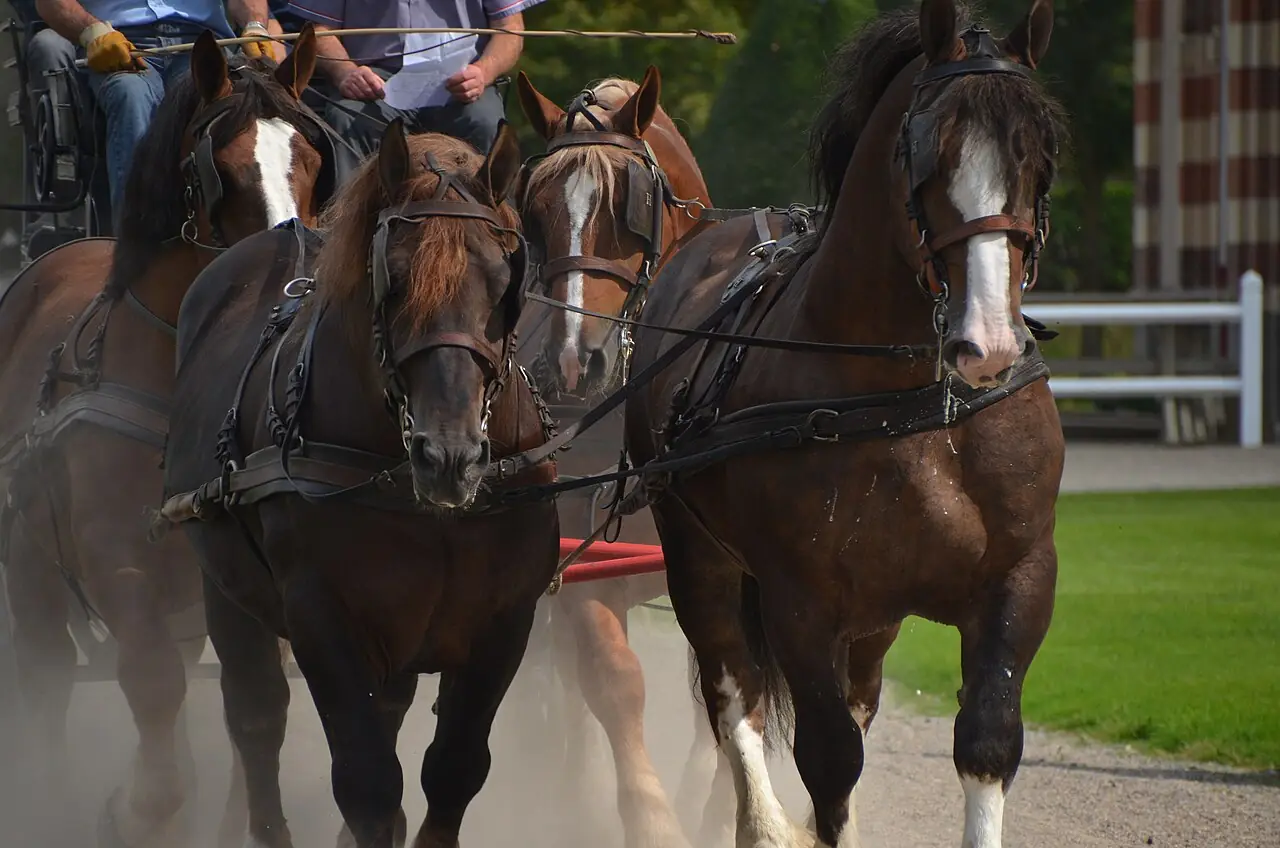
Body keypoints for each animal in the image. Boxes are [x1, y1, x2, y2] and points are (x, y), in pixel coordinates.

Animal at [0, 28, 330, 847]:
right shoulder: (115, 560)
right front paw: (130, 810)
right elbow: (152, 685)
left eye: (310, 163)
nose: (294, 279)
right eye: (222, 173)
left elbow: (251, 716)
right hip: (32, 566)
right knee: (47, 678)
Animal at [157, 122, 560, 848]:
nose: (449, 456)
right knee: (257, 719)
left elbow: (453, 770)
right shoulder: (322, 618)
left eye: (502, 282)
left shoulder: (506, 618)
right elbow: (368, 785)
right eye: (392, 281)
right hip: (226, 591)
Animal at [513, 67, 721, 847]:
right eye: (535, 209)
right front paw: (651, 817)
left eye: (629, 205)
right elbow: (612, 680)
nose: (573, 363)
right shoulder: (581, 559)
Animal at [623, 1, 1065, 846]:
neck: (914, 405)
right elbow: (828, 759)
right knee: (734, 695)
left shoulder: (1019, 580)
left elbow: (986, 743)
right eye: (927, 152)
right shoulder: (800, 602)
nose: (989, 343)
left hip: (871, 622)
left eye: (1041, 155)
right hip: (698, 556)